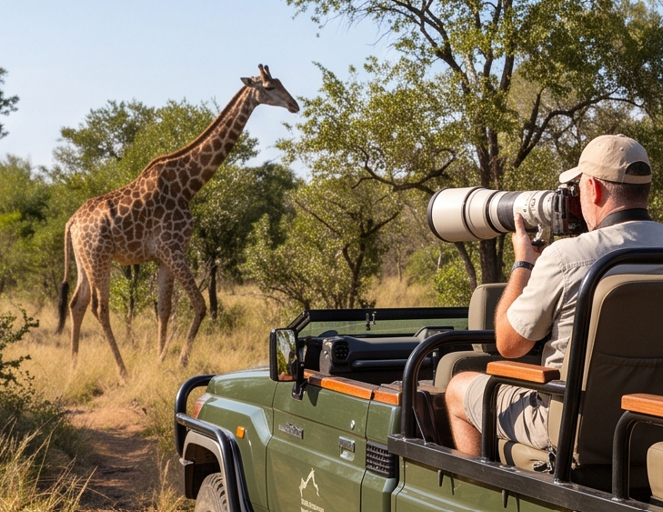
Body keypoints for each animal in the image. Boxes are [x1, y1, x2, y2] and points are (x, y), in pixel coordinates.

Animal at [55, 64, 299, 381]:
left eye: (280, 82)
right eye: (269, 87)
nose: (294, 105)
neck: (188, 185)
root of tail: (72, 221)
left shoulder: (163, 255)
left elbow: (165, 309)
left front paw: (159, 359)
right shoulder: (173, 248)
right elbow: (199, 304)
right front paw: (180, 360)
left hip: (84, 259)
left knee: (77, 303)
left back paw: (73, 367)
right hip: (100, 257)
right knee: (100, 307)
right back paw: (122, 370)